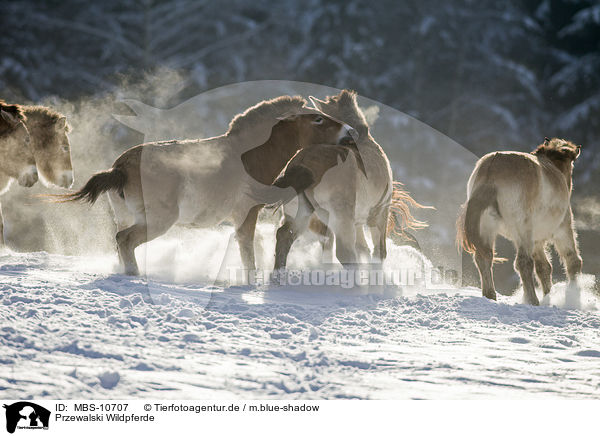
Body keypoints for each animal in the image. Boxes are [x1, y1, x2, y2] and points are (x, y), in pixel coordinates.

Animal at [57, 96, 352, 276]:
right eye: (317, 119)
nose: (350, 133)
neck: (249, 155)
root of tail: (119, 168)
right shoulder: (247, 213)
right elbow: (247, 253)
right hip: (158, 220)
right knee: (125, 240)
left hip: (126, 216)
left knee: (119, 242)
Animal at [460, 138, 580, 304]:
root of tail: (491, 168)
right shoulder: (563, 229)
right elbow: (572, 261)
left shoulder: (536, 241)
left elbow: (544, 268)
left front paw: (549, 296)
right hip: (523, 229)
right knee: (524, 262)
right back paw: (532, 300)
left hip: (487, 228)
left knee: (484, 257)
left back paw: (490, 296)